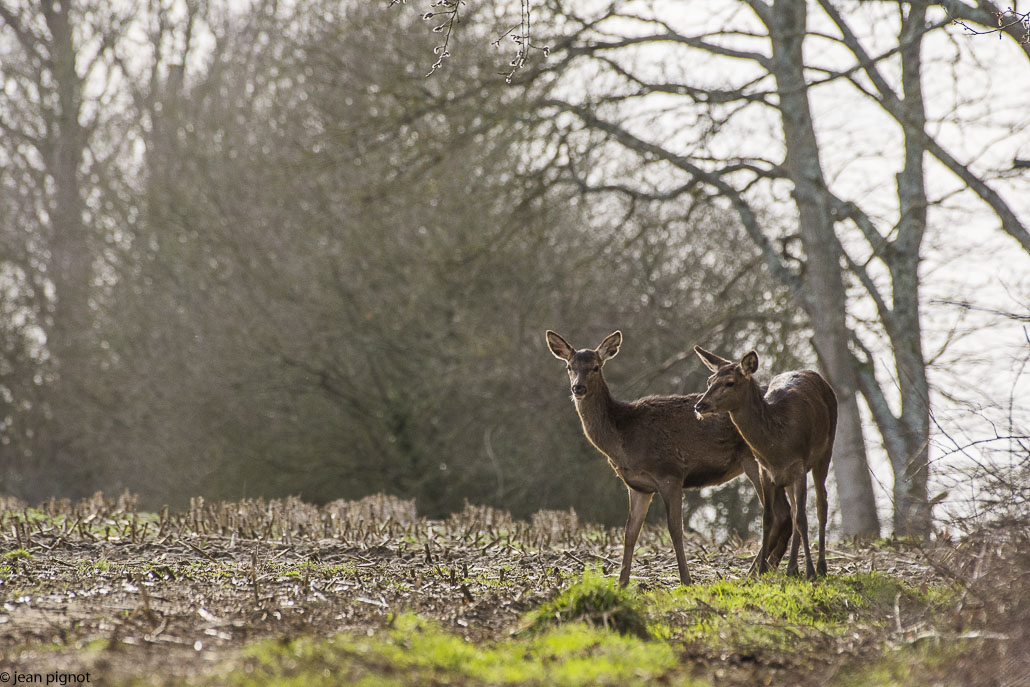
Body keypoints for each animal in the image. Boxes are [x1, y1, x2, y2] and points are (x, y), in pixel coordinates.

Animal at [543, 329, 791, 585]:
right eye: (569, 366)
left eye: (595, 366)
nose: (578, 388)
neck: (622, 438)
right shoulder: (638, 486)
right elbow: (630, 531)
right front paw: (622, 583)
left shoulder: (670, 472)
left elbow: (675, 529)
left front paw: (686, 580)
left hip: (755, 460)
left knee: (778, 514)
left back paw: (754, 572)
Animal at [692, 346, 836, 576]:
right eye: (709, 380)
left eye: (730, 382)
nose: (700, 406)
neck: (777, 446)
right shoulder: (764, 470)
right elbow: (768, 518)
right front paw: (759, 571)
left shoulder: (799, 466)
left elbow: (802, 518)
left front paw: (810, 572)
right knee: (794, 510)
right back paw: (792, 568)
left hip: (825, 451)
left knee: (820, 505)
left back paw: (820, 567)